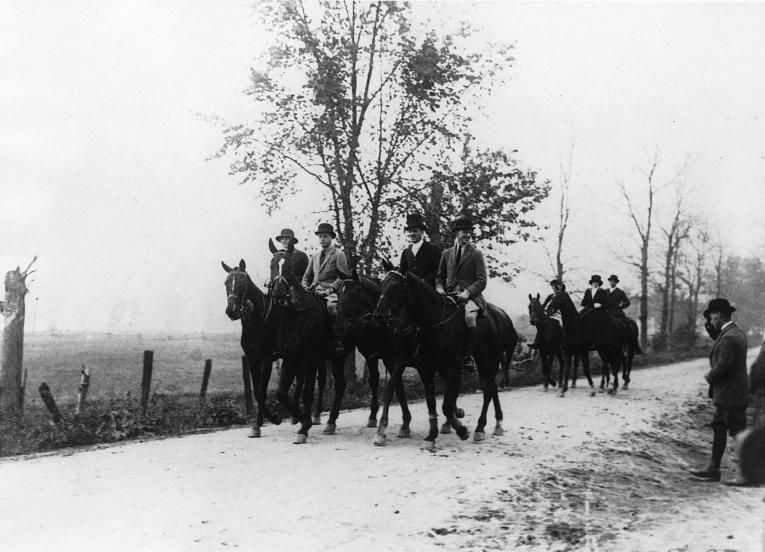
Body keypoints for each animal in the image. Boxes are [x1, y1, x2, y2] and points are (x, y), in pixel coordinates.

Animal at [222, 260, 282, 438]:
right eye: (226, 282)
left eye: (242, 282)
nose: (232, 310)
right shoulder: (252, 358)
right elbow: (256, 391)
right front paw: (257, 426)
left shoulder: (267, 359)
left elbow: (261, 391)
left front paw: (274, 418)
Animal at [270, 242, 348, 444]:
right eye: (272, 264)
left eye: (289, 267)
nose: (279, 295)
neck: (296, 314)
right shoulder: (290, 359)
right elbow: (281, 393)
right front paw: (299, 419)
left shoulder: (309, 361)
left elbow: (306, 393)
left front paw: (305, 427)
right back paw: (330, 422)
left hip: (339, 357)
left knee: (341, 384)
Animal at [334, 268, 412, 444]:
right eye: (339, 293)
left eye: (354, 293)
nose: (339, 326)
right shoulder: (371, 355)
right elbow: (375, 380)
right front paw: (373, 417)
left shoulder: (394, 359)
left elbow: (396, 385)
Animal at [370, 272, 512, 448]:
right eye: (382, 285)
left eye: (396, 287)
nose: (378, 316)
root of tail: (499, 314)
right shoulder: (419, 366)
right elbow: (427, 400)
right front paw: (432, 433)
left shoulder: (451, 366)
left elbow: (446, 404)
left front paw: (461, 430)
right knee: (490, 388)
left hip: (487, 360)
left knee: (488, 390)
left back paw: (481, 428)